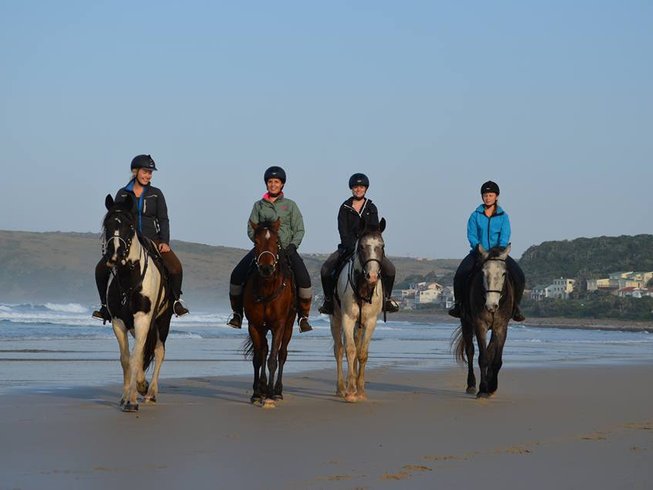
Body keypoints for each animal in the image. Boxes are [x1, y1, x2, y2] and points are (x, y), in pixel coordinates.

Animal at [102, 193, 172, 412]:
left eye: (129, 226)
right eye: (106, 224)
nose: (114, 255)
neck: (128, 278)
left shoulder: (143, 319)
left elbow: (136, 357)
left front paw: (133, 399)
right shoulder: (119, 322)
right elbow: (127, 359)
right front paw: (127, 395)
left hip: (162, 321)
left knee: (159, 352)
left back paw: (151, 393)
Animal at [243, 218, 296, 406]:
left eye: (276, 242)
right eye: (256, 242)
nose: (266, 269)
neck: (266, 289)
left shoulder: (279, 325)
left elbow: (272, 359)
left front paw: (271, 395)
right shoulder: (254, 325)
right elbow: (258, 358)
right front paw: (257, 393)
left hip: (289, 325)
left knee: (282, 354)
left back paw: (277, 390)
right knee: (264, 351)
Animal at [328, 218, 384, 402]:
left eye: (382, 246)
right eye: (362, 247)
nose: (372, 276)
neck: (363, 288)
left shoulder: (371, 322)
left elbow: (362, 353)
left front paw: (360, 390)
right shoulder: (347, 318)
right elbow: (350, 350)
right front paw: (351, 391)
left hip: (360, 325)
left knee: (356, 344)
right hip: (335, 319)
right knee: (339, 350)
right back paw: (341, 388)